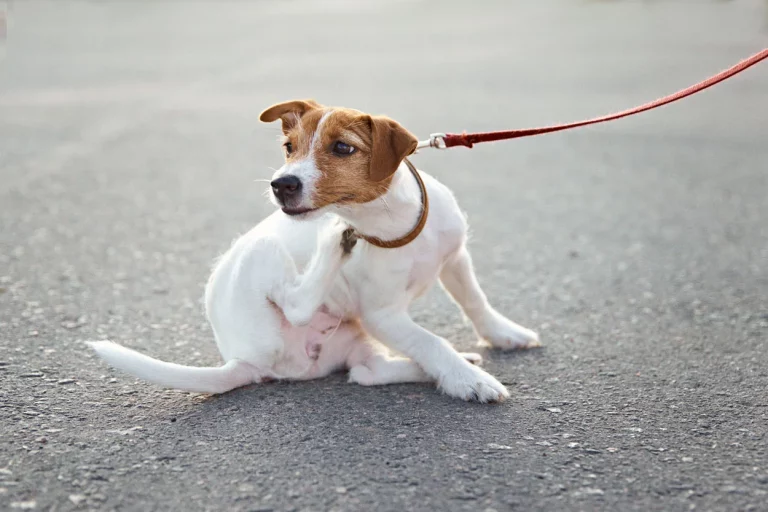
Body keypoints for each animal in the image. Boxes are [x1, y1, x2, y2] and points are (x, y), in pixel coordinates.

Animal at [91, 99, 540, 404]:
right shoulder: (383, 315)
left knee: (366, 372)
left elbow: (475, 302)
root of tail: (241, 359)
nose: (281, 184)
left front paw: (503, 336)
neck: (392, 227)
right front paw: (468, 381)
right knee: (297, 305)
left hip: (354, 339)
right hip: (263, 251)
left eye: (342, 148)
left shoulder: (455, 259)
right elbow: (432, 342)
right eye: (288, 146)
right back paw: (334, 242)